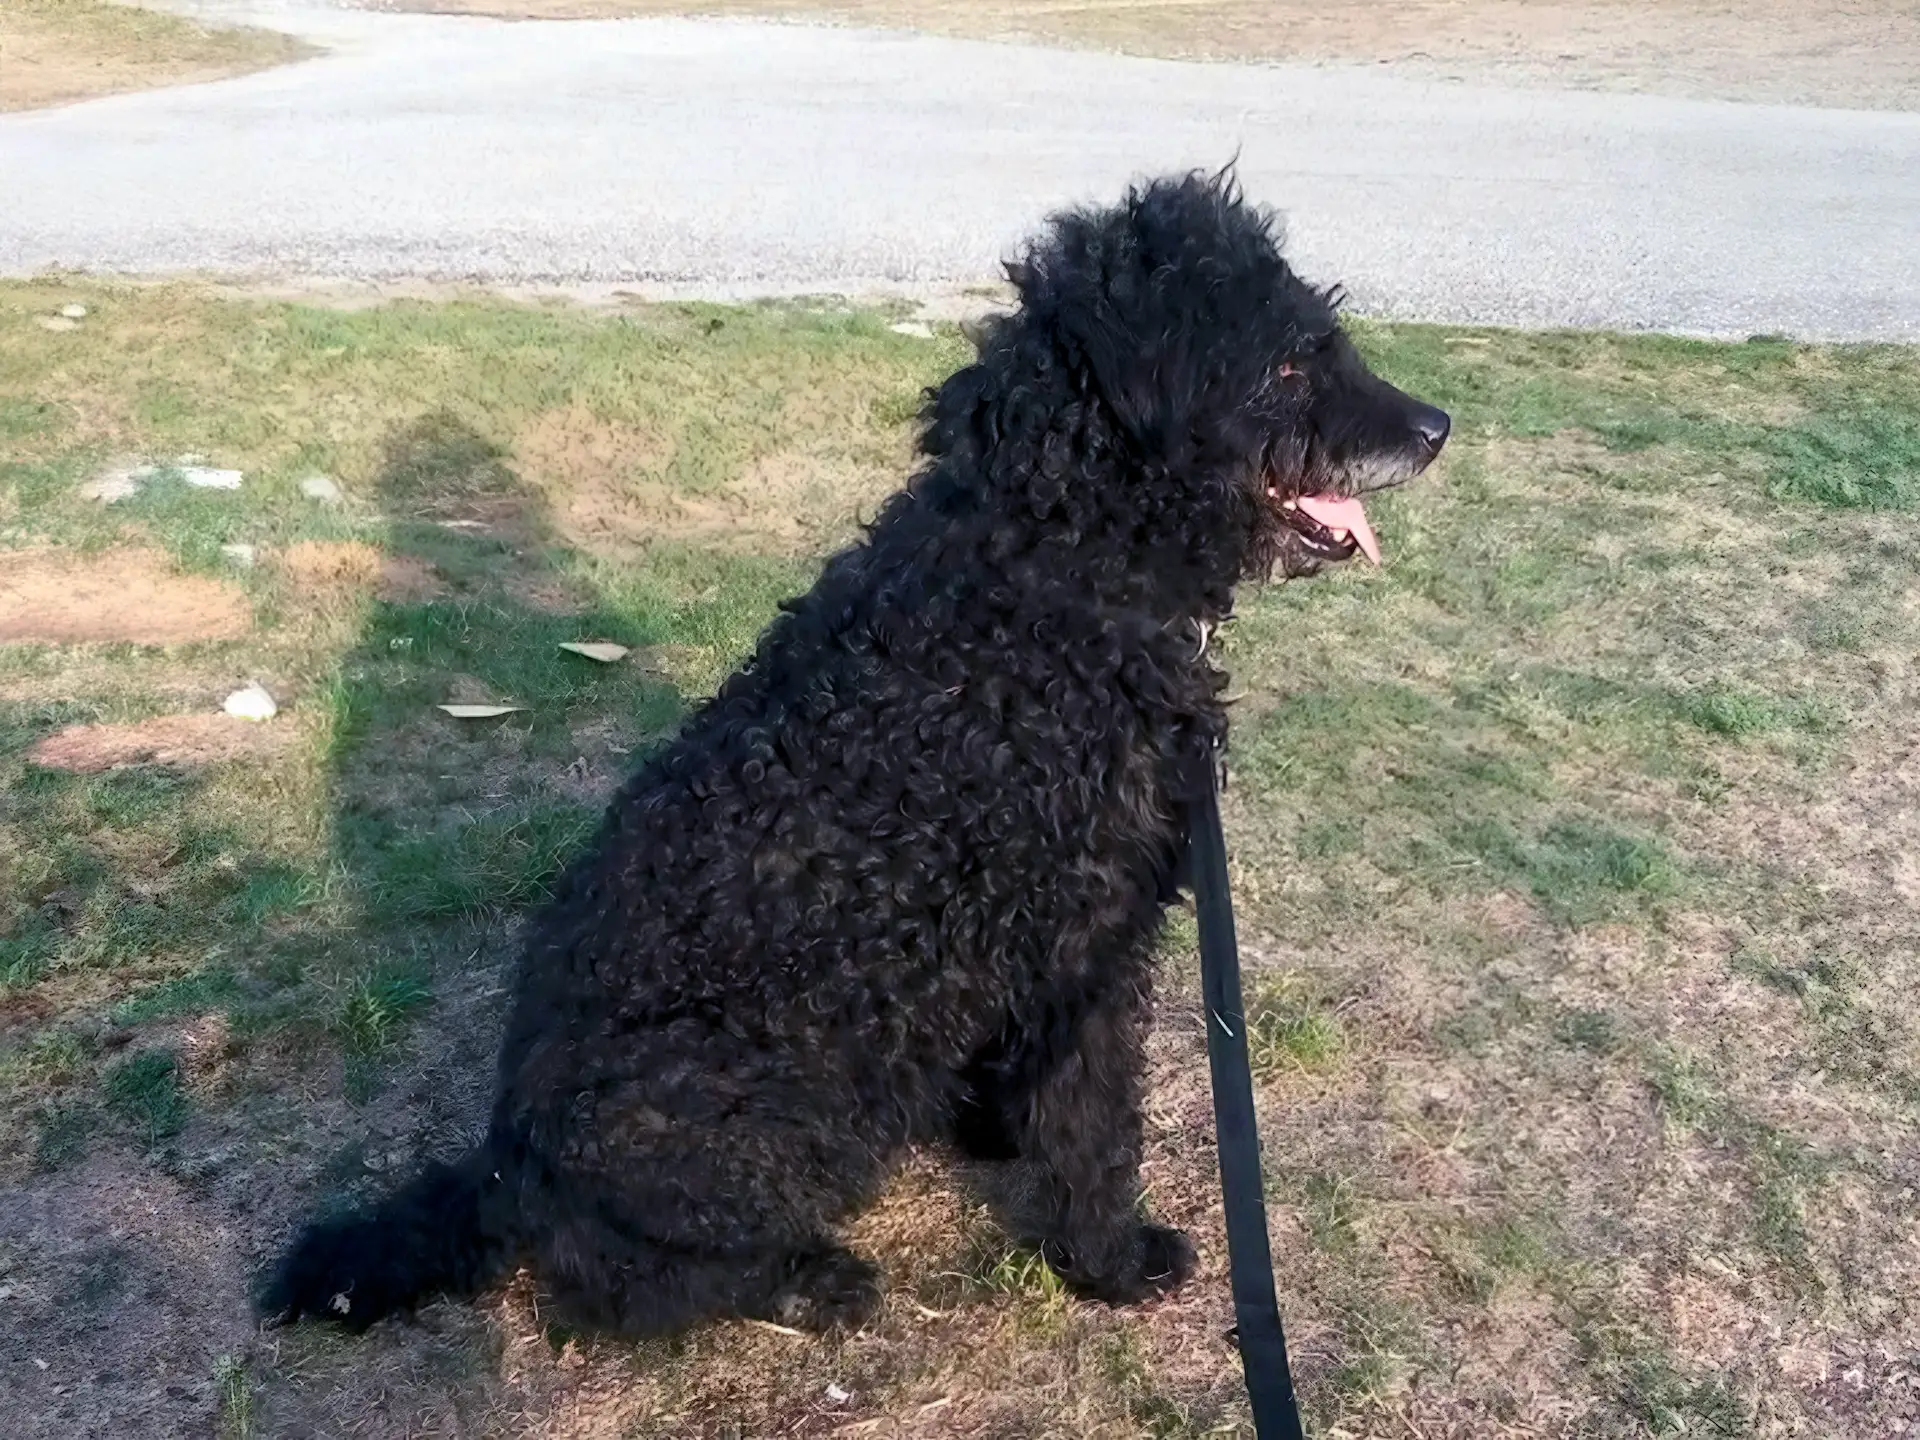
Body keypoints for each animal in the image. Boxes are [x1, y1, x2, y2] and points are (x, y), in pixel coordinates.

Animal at [263, 174, 1443, 1351]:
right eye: (1285, 363)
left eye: (1323, 335)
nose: (1437, 428)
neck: (1051, 583)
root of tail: (508, 1166)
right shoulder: (1090, 947)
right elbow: (1094, 1125)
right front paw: (1108, 1262)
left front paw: (993, 1134)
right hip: (773, 1117)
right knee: (619, 1288)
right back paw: (808, 1282)